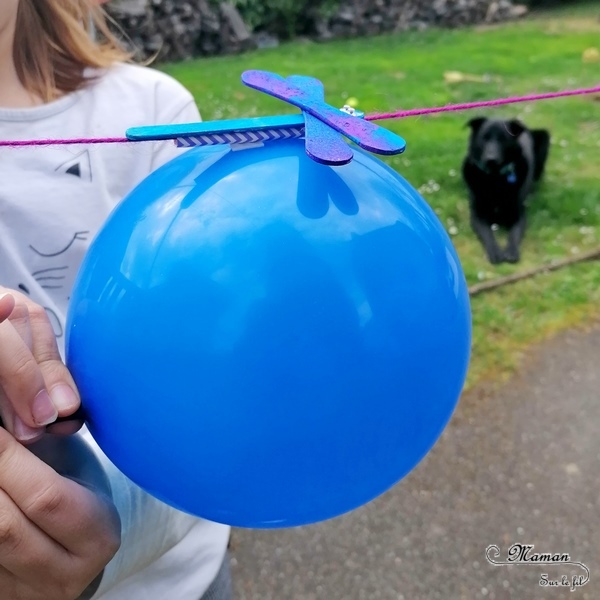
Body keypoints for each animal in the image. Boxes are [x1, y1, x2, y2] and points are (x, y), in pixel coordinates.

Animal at [464, 118, 548, 264]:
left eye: (503, 139)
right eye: (484, 138)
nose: (491, 159)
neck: (495, 178)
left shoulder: (518, 215)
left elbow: (513, 234)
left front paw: (511, 251)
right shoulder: (478, 215)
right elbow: (487, 233)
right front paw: (495, 251)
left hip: (544, 137)